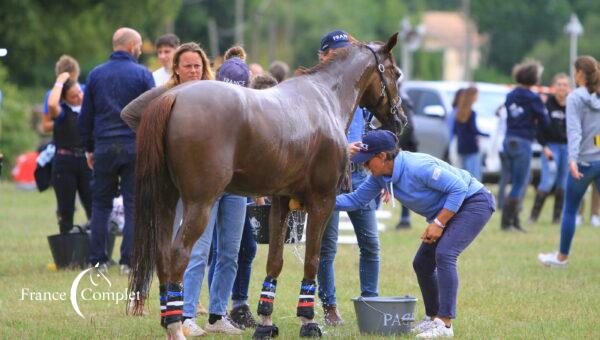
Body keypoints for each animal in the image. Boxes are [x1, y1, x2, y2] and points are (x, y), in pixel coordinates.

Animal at [129, 33, 406, 338]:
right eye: (396, 73)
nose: (401, 120)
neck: (325, 97)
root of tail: (174, 96)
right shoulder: (323, 202)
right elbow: (312, 260)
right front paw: (308, 321)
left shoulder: (281, 201)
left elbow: (275, 261)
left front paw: (265, 322)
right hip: (199, 204)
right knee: (179, 255)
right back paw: (176, 326)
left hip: (166, 201)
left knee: (163, 256)